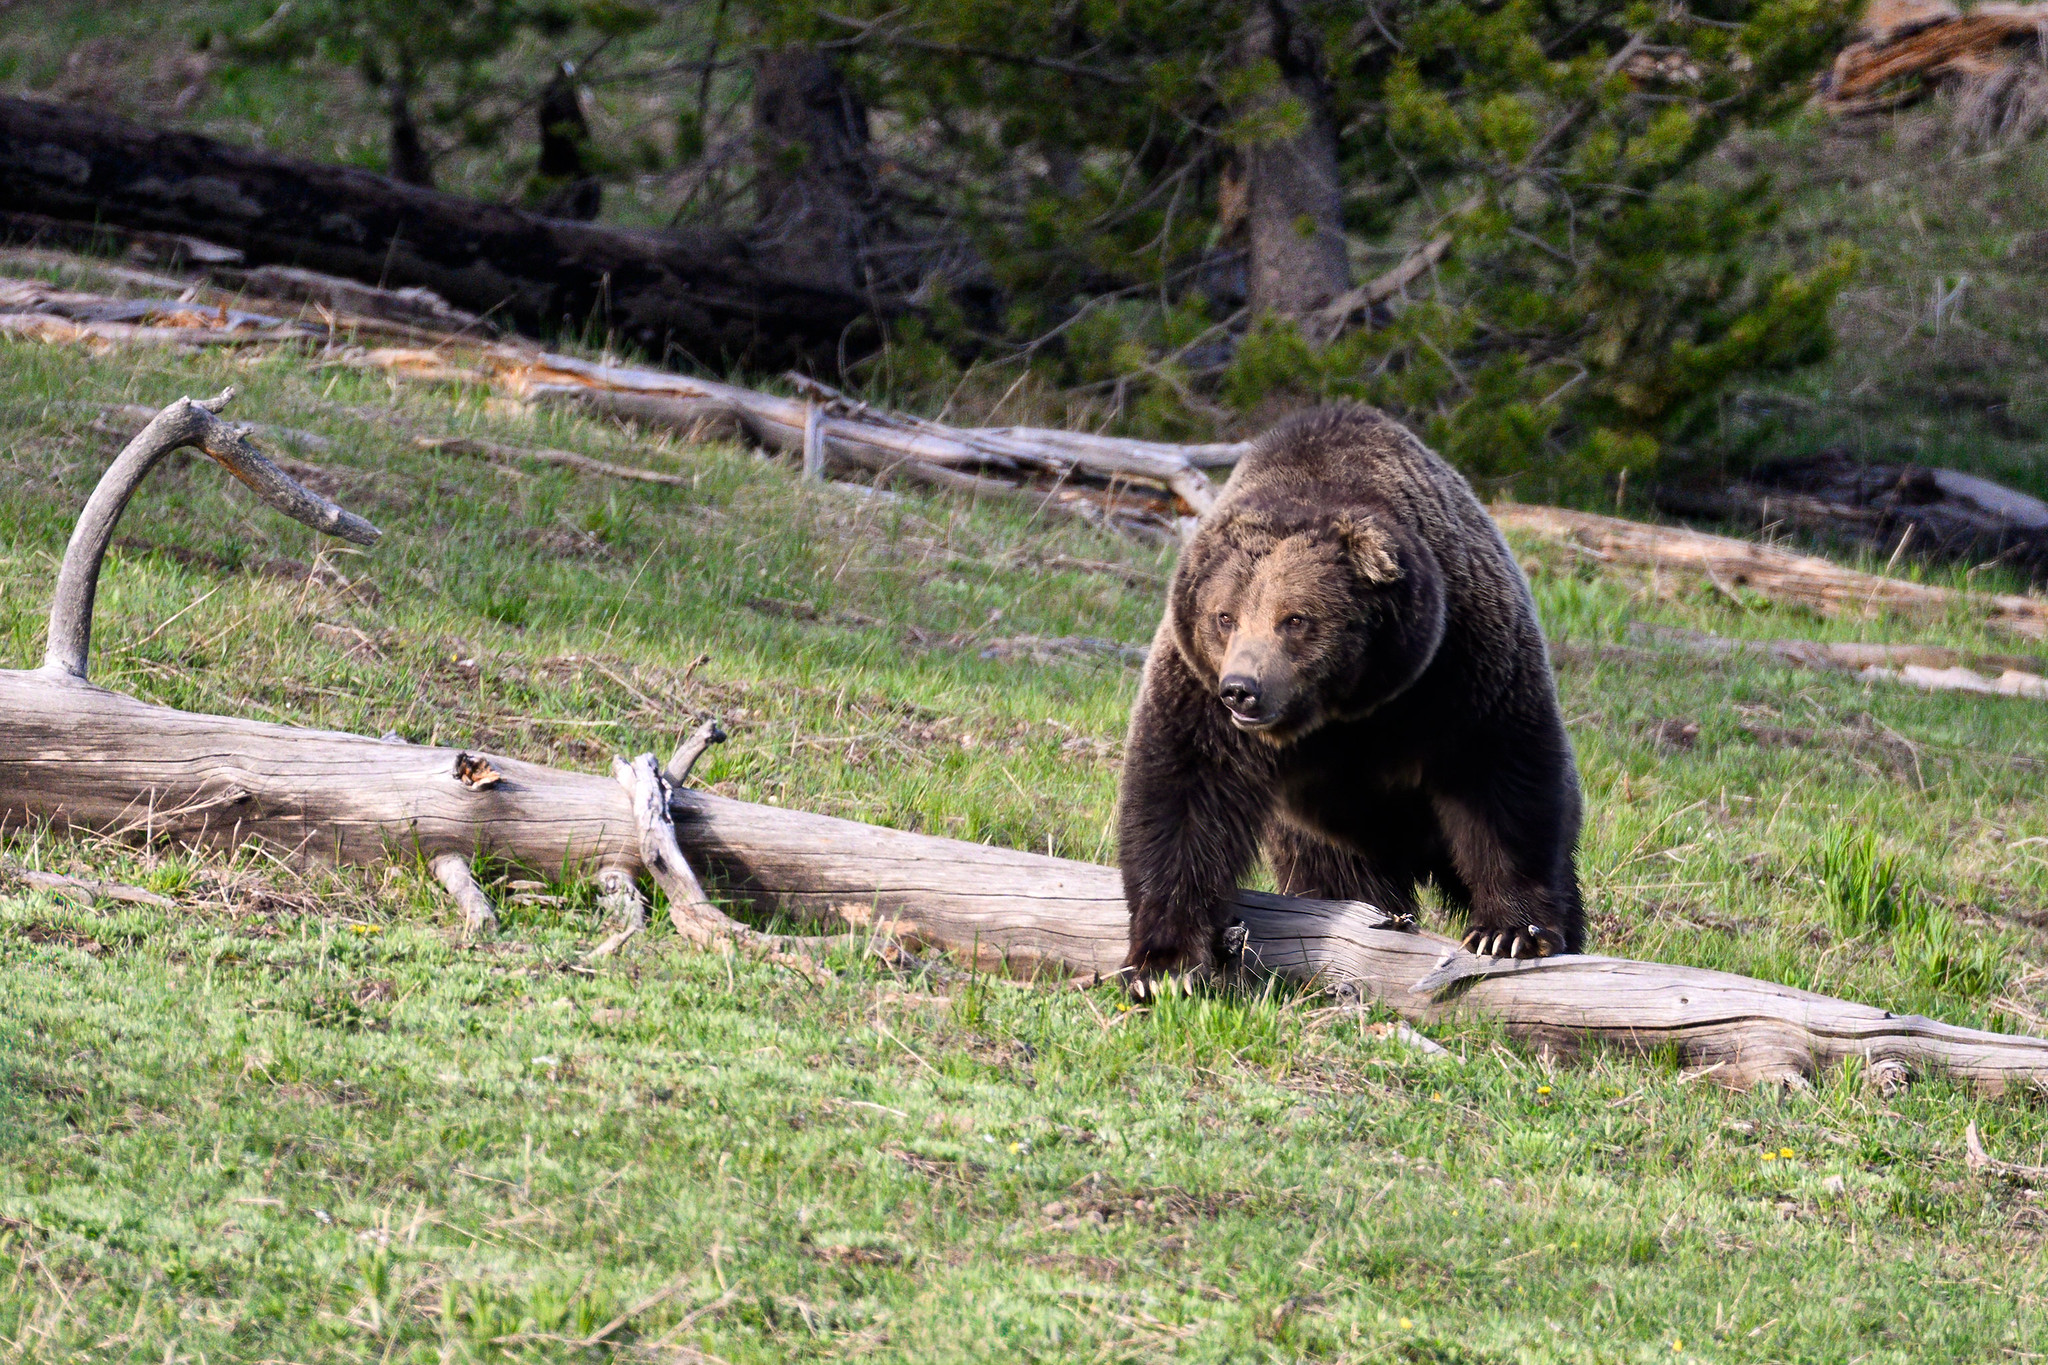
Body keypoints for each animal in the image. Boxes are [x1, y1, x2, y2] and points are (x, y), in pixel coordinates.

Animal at [1116, 404, 1583, 993]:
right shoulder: (1200, 693)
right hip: (1322, 834)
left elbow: (1499, 778)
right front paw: (1166, 964)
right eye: (1224, 616)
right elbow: (1184, 791)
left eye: (1294, 618)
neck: (1346, 707)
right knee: (1339, 876)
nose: (1242, 690)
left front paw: (1509, 931)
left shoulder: (1461, 667)